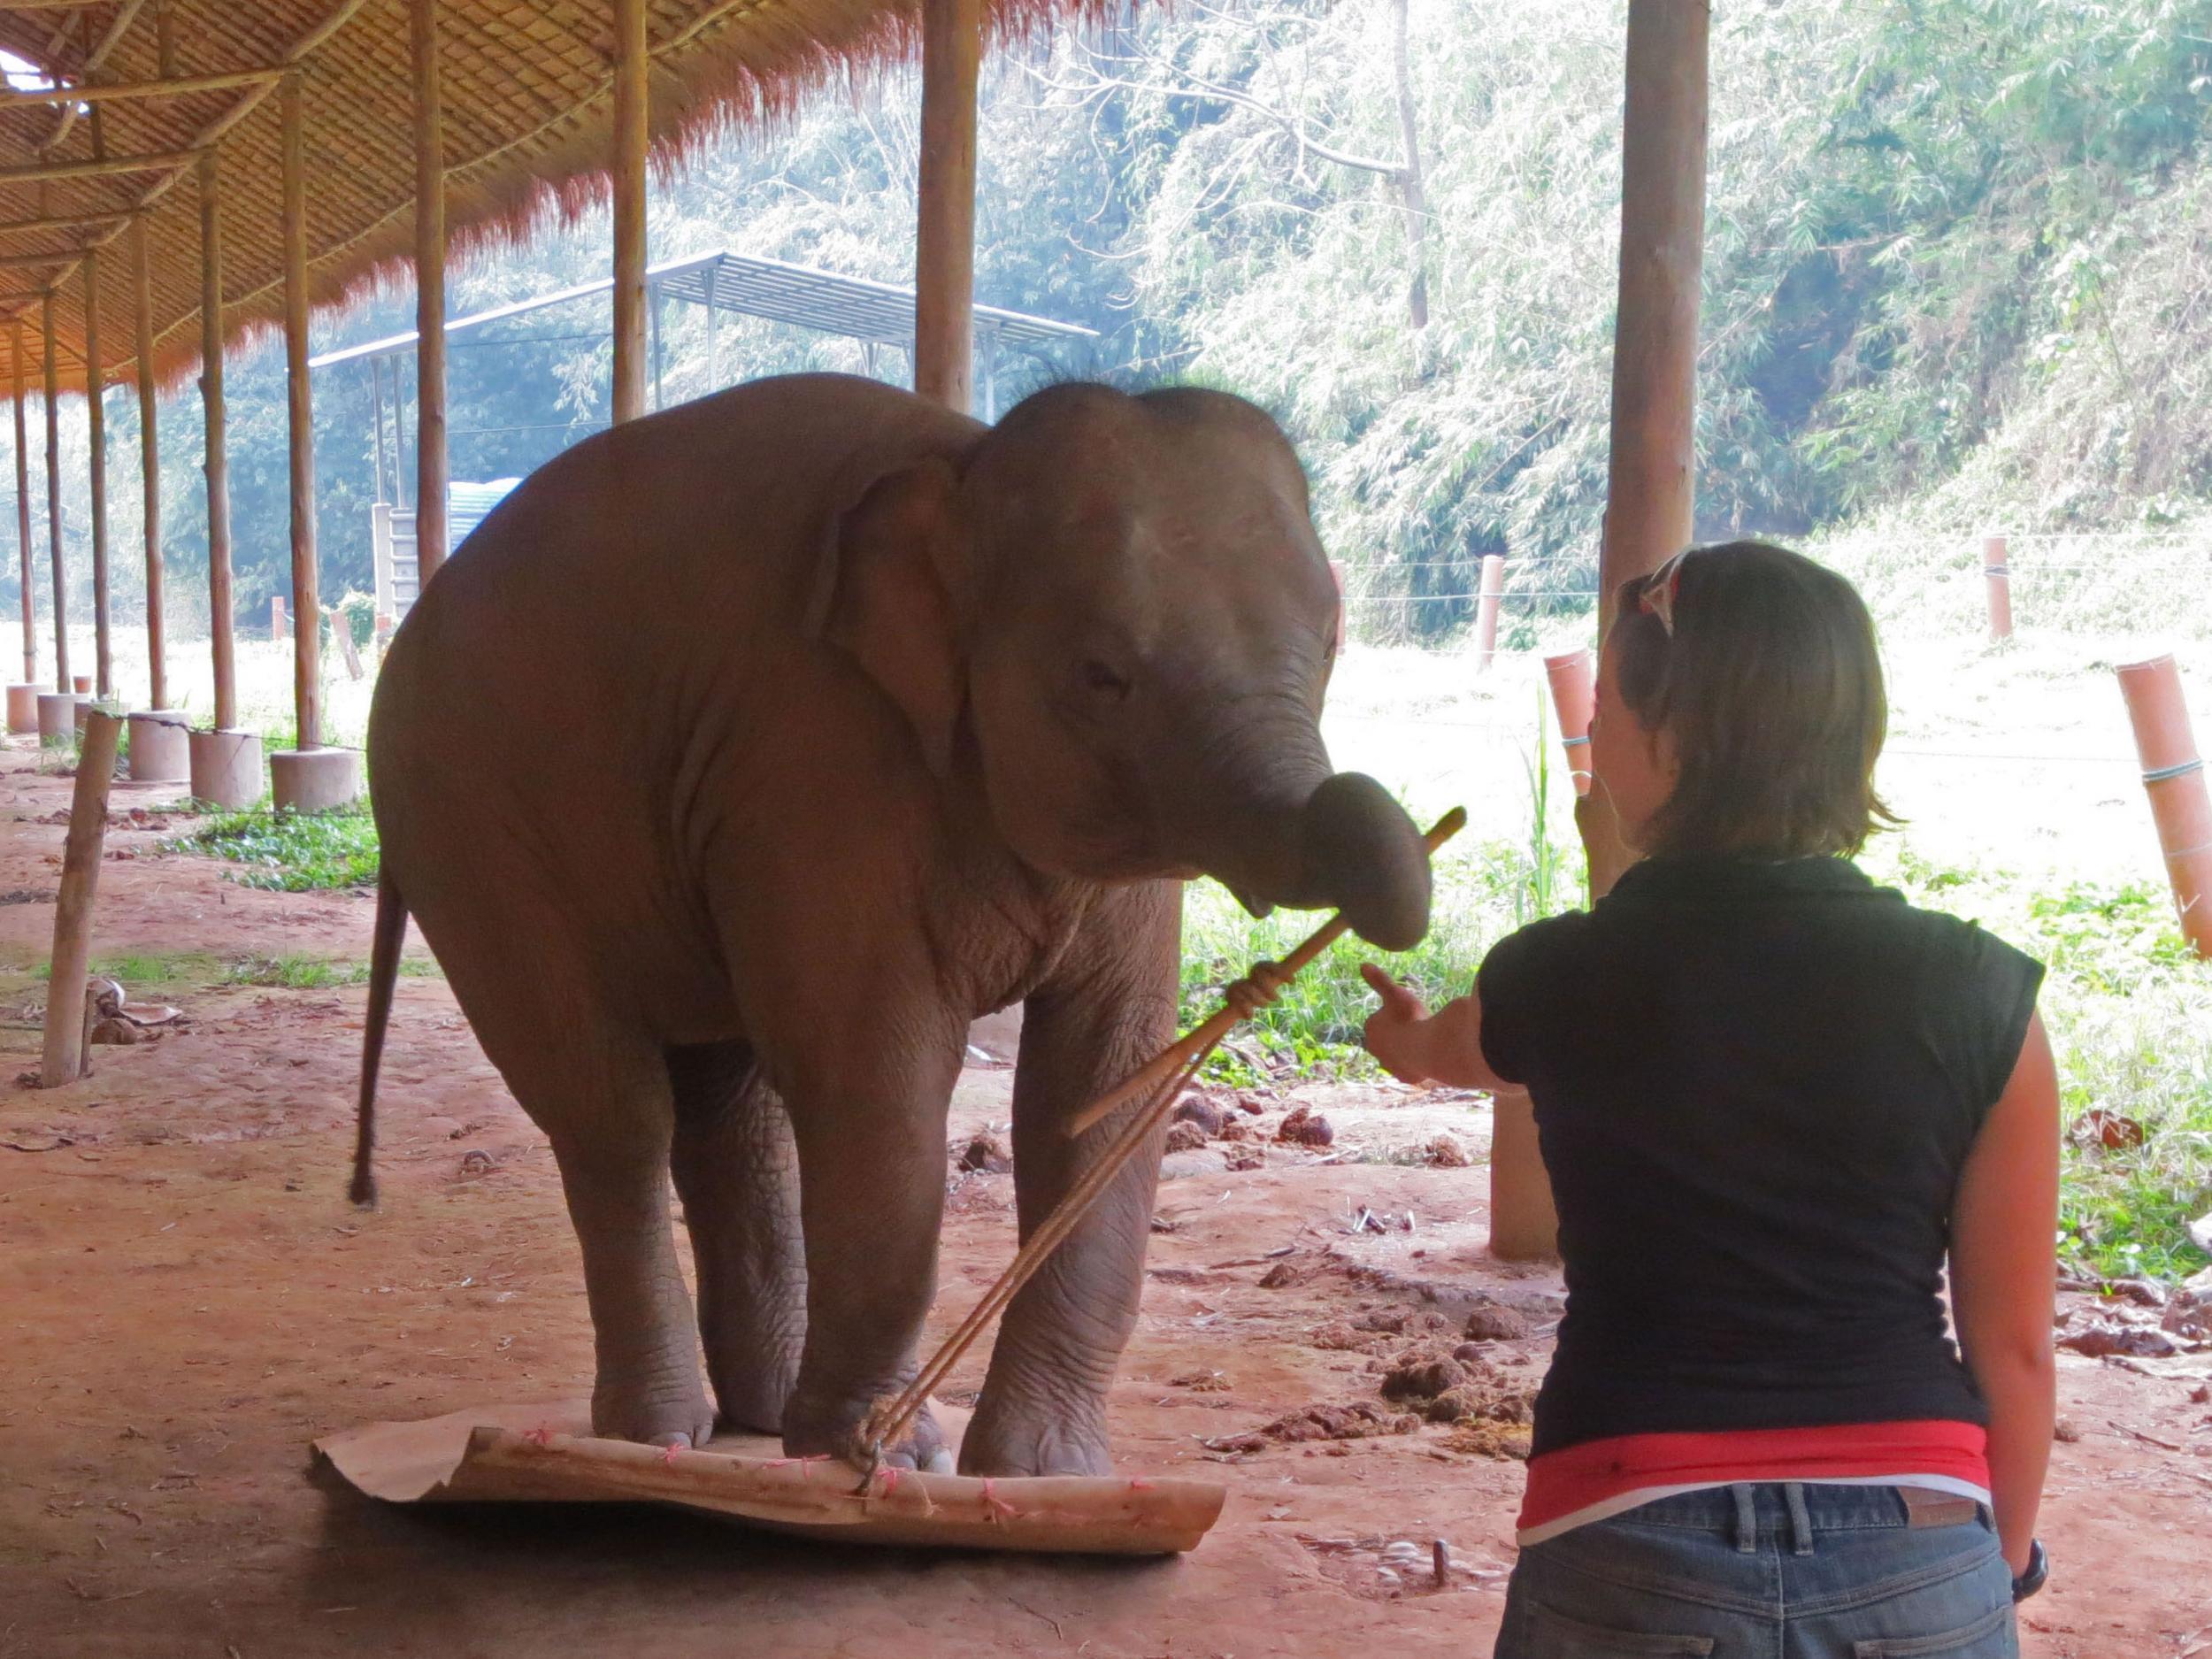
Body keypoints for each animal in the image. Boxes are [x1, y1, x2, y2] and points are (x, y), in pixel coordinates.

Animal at [349, 376, 1433, 1478]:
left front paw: (1040, 1475)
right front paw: (882, 1455)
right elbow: (877, 1074)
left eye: (1333, 643)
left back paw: (759, 1417)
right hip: (471, 834)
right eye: (1100, 677)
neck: (967, 467)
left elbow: (1102, 1079)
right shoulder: (814, 755)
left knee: (728, 1110)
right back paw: (663, 1434)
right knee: (612, 1111)